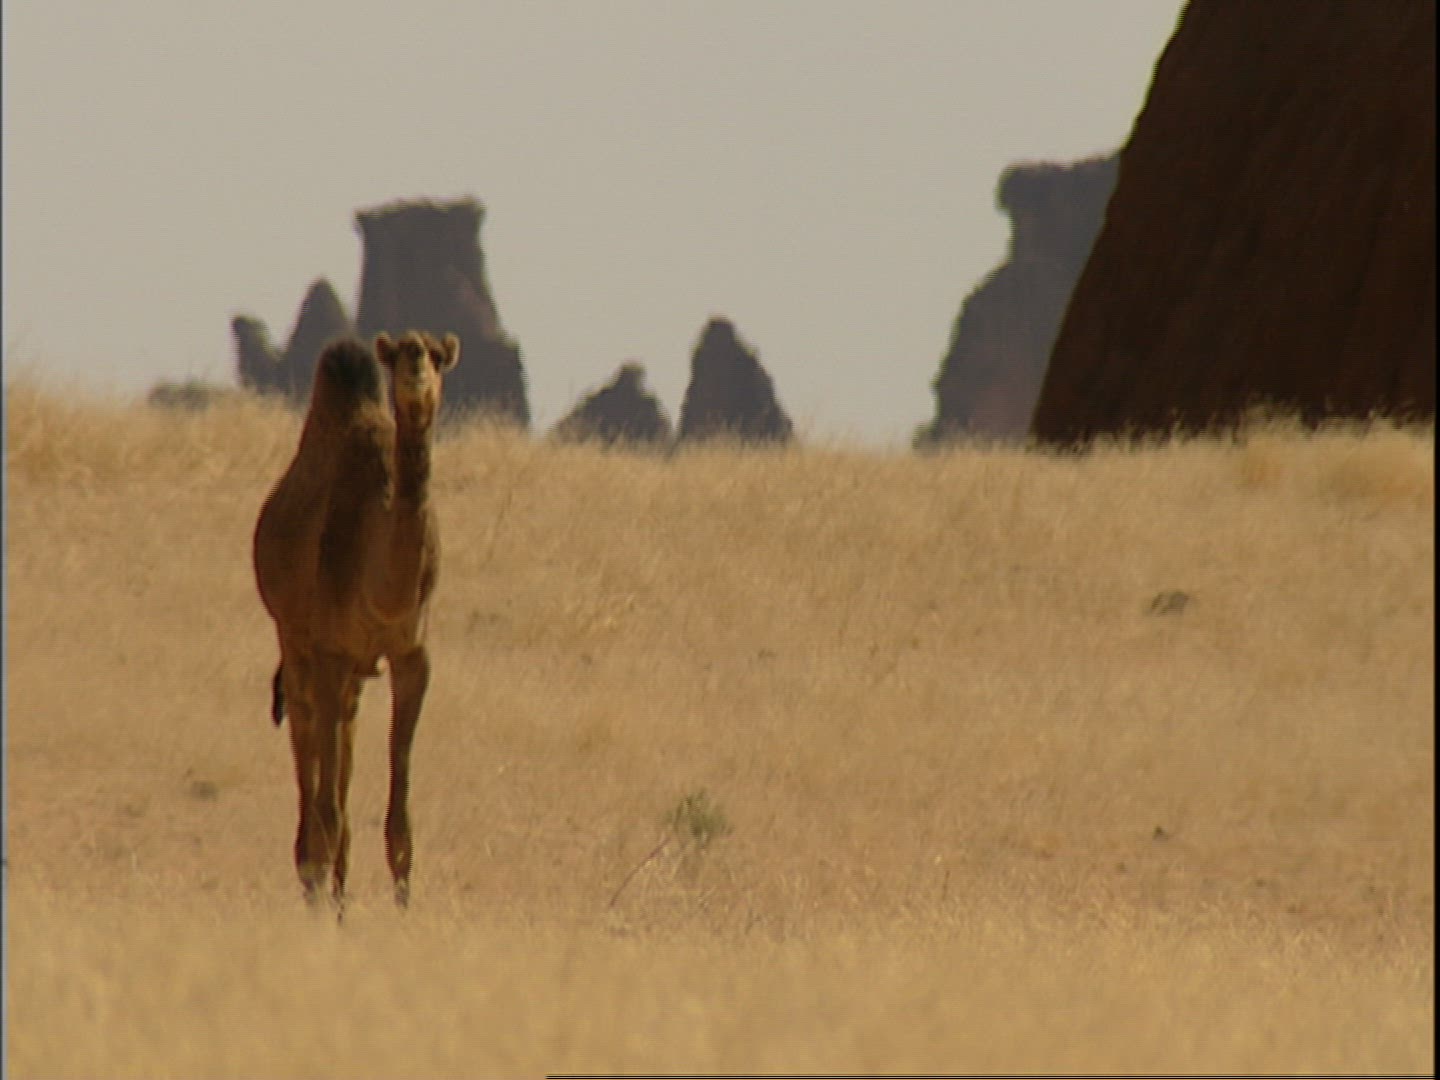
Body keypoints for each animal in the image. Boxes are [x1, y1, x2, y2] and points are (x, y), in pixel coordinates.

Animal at [253, 330, 459, 911]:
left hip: (351, 674)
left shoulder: (412, 656)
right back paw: (313, 879)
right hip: (293, 637)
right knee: (306, 733)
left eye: (438, 356)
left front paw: (403, 906)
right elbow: (327, 803)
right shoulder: (330, 651)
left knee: (343, 737)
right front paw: (323, 902)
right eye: (403, 352)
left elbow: (400, 816)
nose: (416, 375)